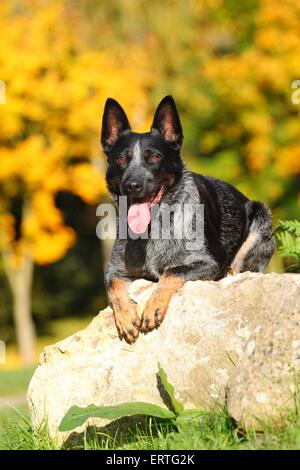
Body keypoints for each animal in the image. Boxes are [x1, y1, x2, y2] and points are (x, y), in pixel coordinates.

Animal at [99, 96, 276, 346]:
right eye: (121, 159)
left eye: (155, 157)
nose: (133, 185)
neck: (155, 229)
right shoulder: (115, 270)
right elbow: (113, 286)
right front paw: (125, 316)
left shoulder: (211, 262)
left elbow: (172, 272)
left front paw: (153, 306)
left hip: (260, 214)